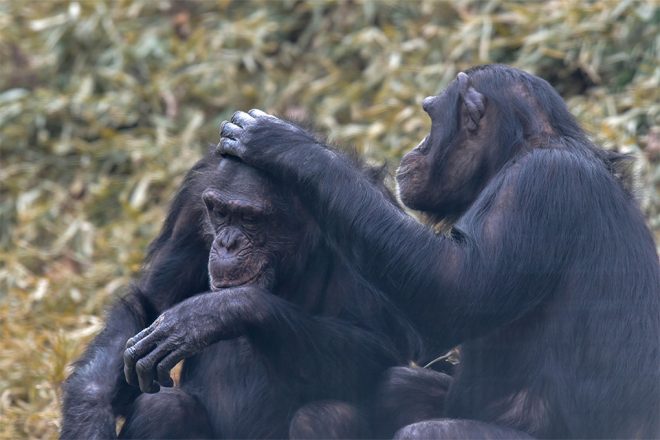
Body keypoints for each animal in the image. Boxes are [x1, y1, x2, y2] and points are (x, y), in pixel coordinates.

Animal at [60, 152, 428, 440]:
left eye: (250, 218)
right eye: (220, 212)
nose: (227, 243)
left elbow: (378, 343)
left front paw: (212, 315)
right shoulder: (191, 207)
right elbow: (149, 307)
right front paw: (88, 417)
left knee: (325, 416)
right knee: (162, 408)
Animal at [219, 63, 660, 438]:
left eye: (430, 116)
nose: (416, 146)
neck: (520, 148)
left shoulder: (536, 186)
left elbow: (458, 290)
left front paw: (285, 144)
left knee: (429, 430)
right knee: (396, 384)